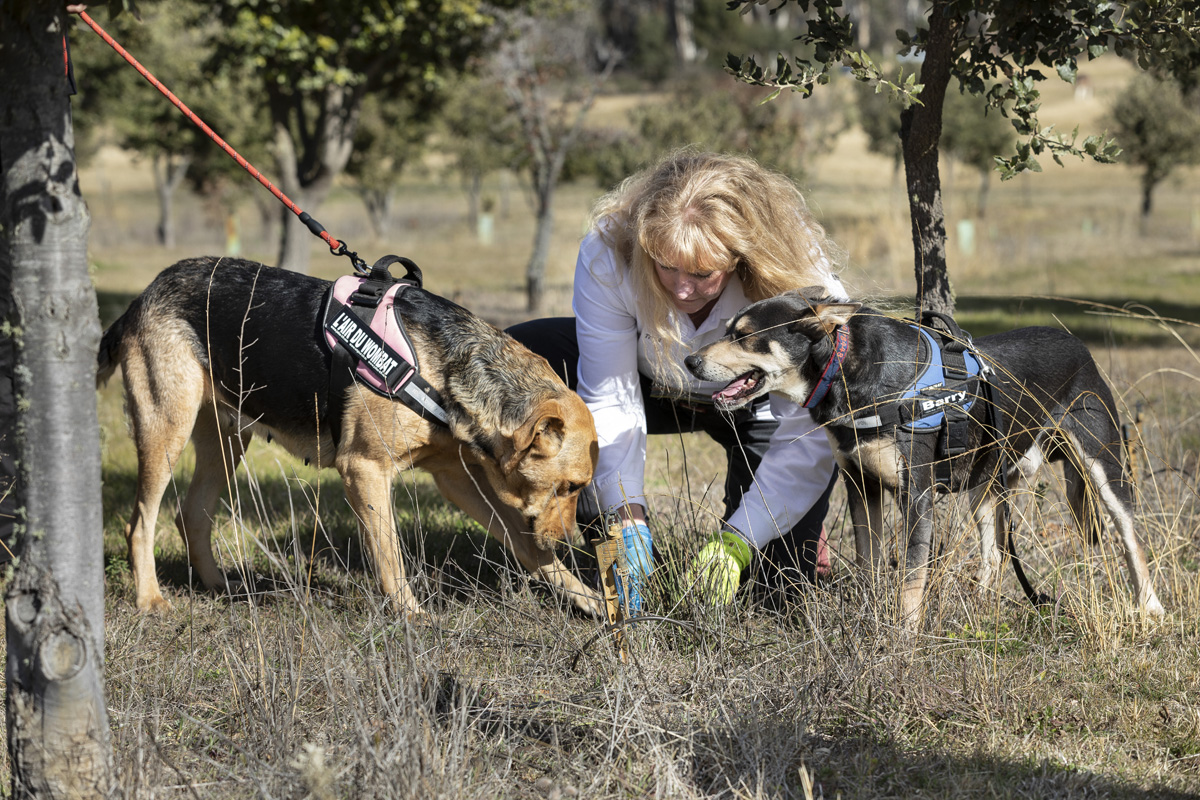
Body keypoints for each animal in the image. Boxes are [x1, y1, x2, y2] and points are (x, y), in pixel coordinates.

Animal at [96, 256, 600, 618]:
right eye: (570, 486)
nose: (567, 543)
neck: (445, 367)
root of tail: (142, 297)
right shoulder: (364, 470)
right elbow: (390, 555)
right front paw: (411, 616)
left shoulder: (457, 479)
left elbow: (523, 544)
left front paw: (587, 597)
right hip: (166, 431)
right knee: (140, 523)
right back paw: (150, 600)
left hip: (226, 440)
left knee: (191, 515)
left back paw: (221, 586)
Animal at [686, 287, 1161, 633]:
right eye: (726, 329)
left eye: (744, 334)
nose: (690, 360)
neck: (850, 373)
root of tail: (1077, 342)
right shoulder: (861, 486)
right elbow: (870, 562)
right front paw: (871, 614)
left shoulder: (916, 495)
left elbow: (912, 577)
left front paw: (904, 635)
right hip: (984, 486)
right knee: (994, 553)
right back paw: (979, 607)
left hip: (1103, 465)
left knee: (1131, 538)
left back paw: (1150, 607)